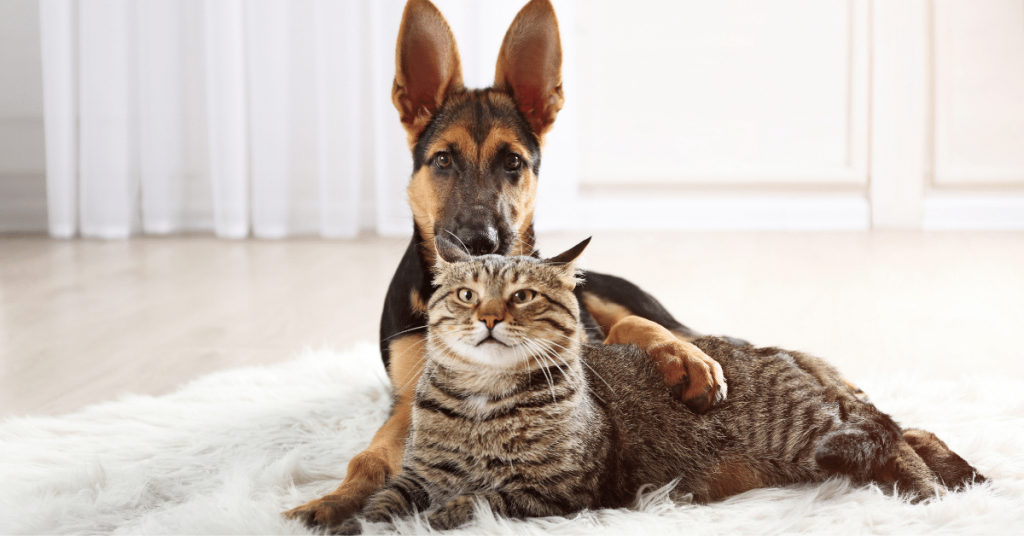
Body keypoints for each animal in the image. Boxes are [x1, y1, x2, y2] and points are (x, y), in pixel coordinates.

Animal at [284, 0, 749, 528]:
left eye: (513, 162)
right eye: (442, 160)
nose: (479, 242)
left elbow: (629, 331)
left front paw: (684, 361)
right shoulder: (412, 399)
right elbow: (370, 456)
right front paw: (334, 500)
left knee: (658, 323)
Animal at [331, 239, 987, 536]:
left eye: (524, 296)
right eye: (466, 295)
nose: (489, 318)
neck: (480, 400)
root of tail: (772, 349)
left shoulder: (558, 492)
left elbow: (478, 501)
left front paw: (442, 515)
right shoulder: (417, 473)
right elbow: (385, 497)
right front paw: (357, 519)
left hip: (809, 432)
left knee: (888, 431)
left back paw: (930, 490)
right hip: (824, 441)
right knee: (900, 427)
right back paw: (958, 473)